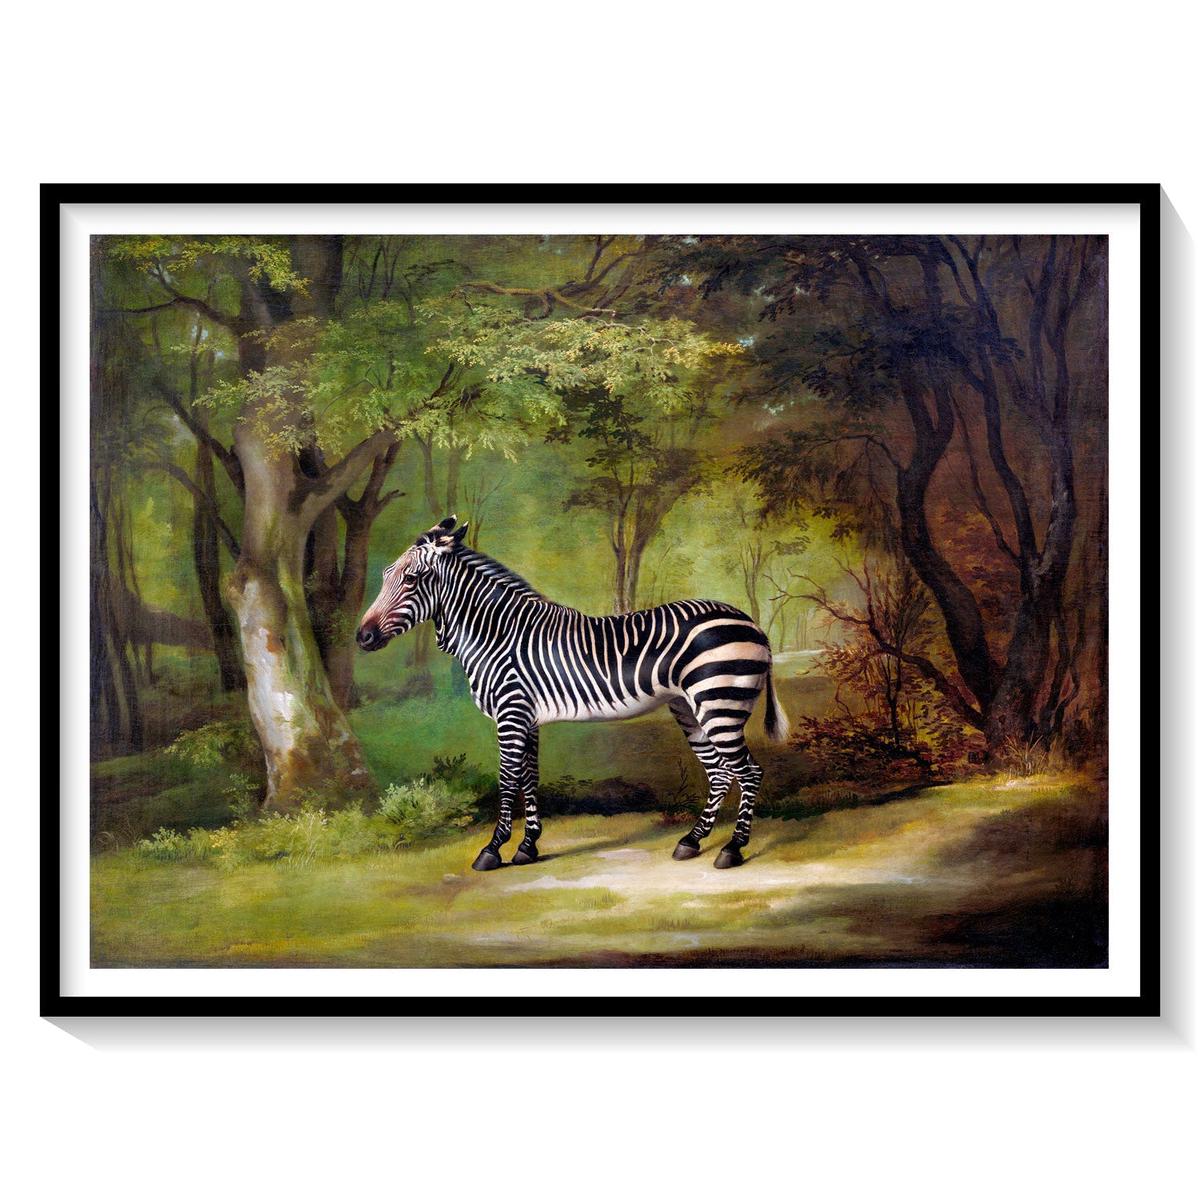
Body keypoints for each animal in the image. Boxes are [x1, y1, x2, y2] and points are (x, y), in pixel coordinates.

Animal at [357, 518, 789, 871]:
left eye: (411, 580)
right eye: (386, 575)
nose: (362, 637)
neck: (496, 632)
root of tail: (752, 623)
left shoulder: (511, 713)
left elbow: (507, 779)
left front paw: (492, 850)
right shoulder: (526, 717)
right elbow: (529, 778)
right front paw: (527, 847)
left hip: (719, 703)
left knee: (748, 772)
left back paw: (732, 849)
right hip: (690, 708)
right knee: (720, 773)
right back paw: (691, 842)